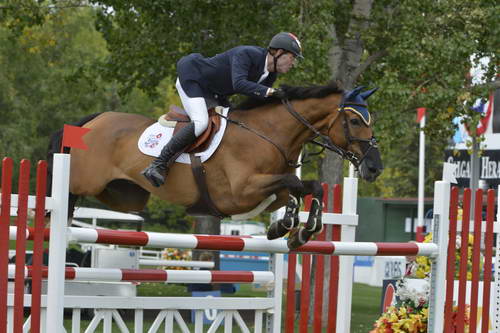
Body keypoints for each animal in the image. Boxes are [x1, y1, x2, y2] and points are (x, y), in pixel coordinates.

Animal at [47, 81, 382, 248]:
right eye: (355, 121)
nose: (374, 168)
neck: (269, 134)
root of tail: (93, 121)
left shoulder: (267, 193)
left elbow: (308, 187)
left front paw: (297, 230)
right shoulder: (239, 193)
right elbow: (295, 183)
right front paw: (288, 225)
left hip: (124, 195)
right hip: (84, 181)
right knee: (64, 199)